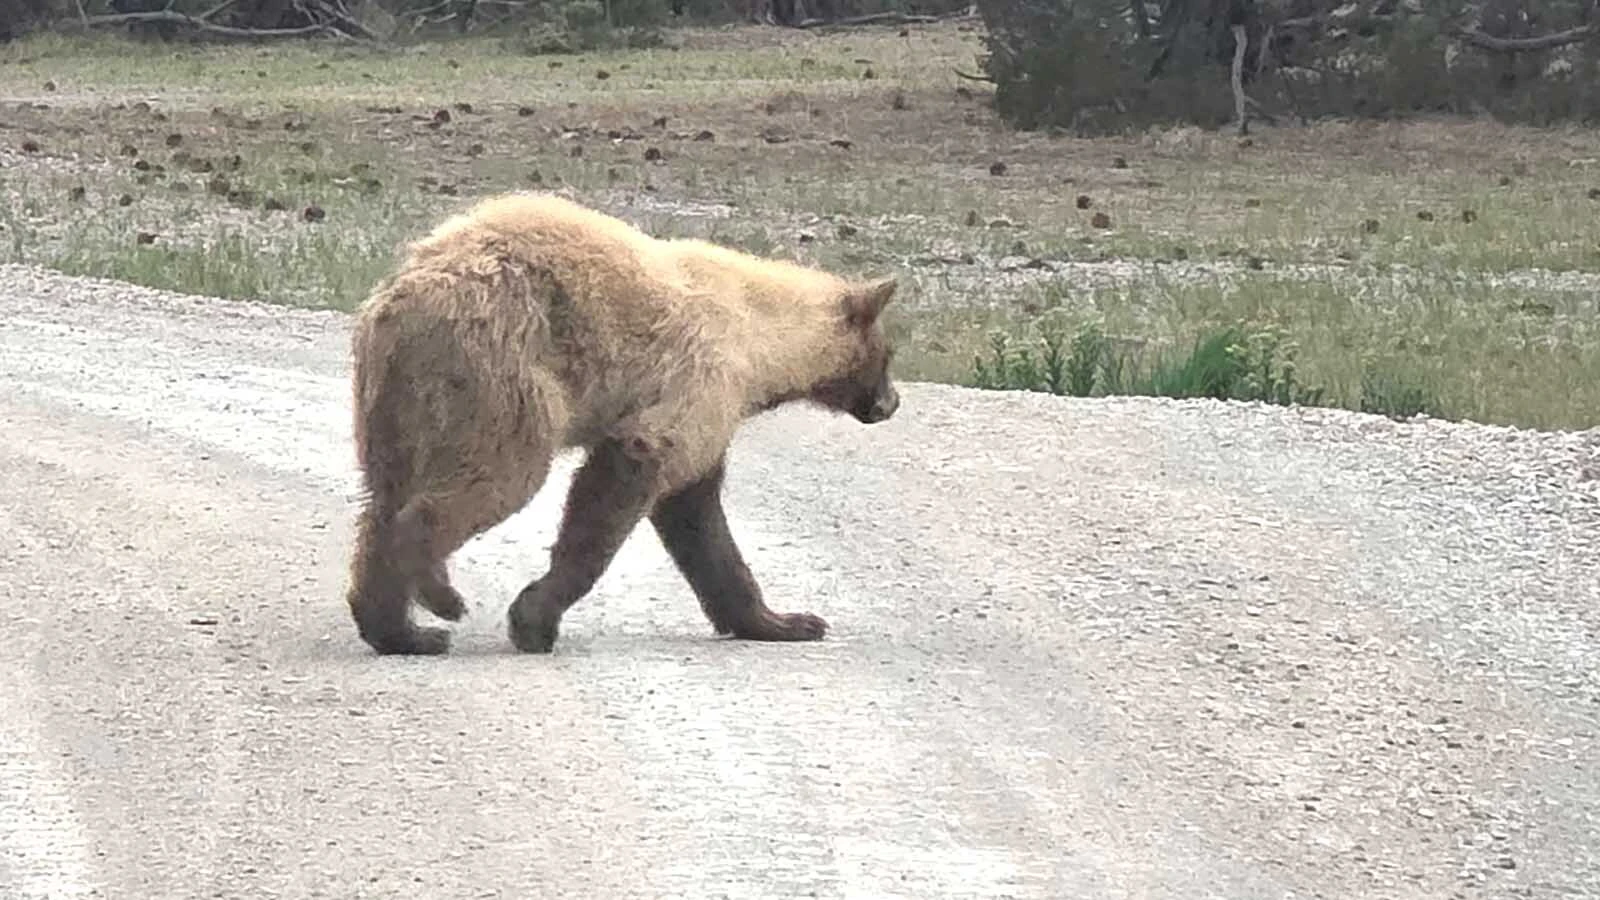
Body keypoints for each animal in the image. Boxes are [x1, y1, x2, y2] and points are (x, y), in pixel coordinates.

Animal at [344, 191, 901, 656]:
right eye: (889, 353)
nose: (892, 403)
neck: (761, 338)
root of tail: (401, 299)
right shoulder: (696, 378)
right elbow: (620, 489)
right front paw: (535, 619)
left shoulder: (708, 409)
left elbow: (699, 518)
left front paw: (787, 621)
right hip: (500, 376)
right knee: (496, 477)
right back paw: (441, 597)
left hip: (397, 406)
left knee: (381, 502)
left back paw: (401, 631)